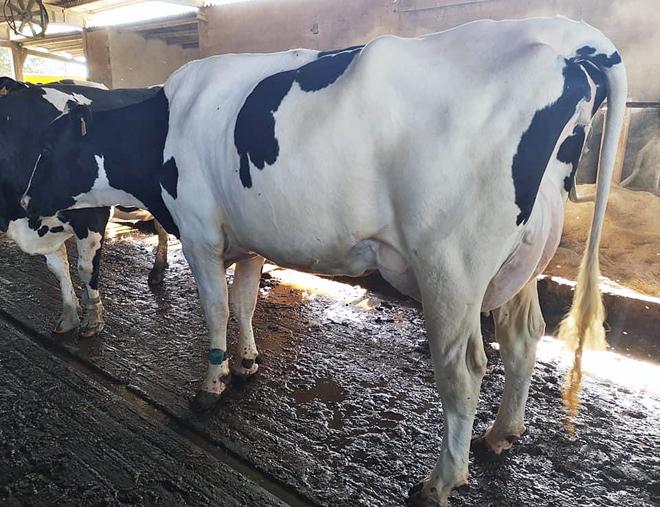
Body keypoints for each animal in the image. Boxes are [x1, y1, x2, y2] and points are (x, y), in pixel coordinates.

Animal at [0, 77, 170, 337]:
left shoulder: (91, 219)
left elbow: (86, 268)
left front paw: (93, 318)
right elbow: (58, 268)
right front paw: (69, 315)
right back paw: (158, 271)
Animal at [21, 17, 626, 505]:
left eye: (46, 150)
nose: (24, 203)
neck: (167, 124)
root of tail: (563, 38)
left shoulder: (198, 233)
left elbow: (215, 311)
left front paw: (211, 383)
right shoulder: (247, 237)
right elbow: (244, 302)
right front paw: (246, 363)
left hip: (450, 266)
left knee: (465, 370)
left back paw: (439, 482)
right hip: (523, 257)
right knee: (524, 336)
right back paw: (502, 434)